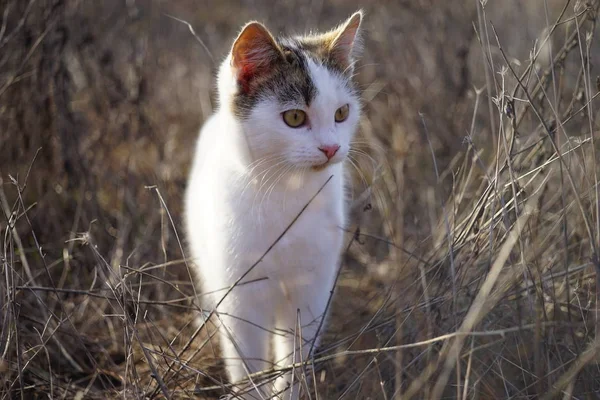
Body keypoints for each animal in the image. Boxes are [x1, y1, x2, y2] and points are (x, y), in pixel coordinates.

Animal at [183, 10, 364, 398]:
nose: (331, 148)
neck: (286, 190)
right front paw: (253, 391)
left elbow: (295, 354)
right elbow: (246, 361)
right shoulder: (240, 295)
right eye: (294, 118)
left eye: (342, 113)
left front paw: (288, 390)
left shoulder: (311, 290)